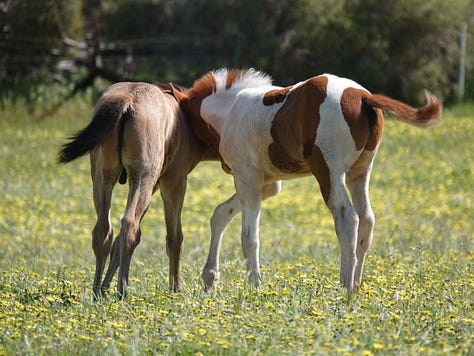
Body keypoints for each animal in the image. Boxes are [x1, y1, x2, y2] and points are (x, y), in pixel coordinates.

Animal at [57, 82, 218, 298]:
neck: (185, 119)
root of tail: (127, 99)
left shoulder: (154, 186)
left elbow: (117, 241)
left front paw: (105, 287)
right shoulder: (174, 181)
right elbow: (175, 238)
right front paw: (175, 289)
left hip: (104, 179)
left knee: (104, 230)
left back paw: (97, 291)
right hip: (143, 179)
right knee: (131, 226)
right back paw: (122, 290)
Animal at [171, 69, 440, 292]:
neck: (231, 110)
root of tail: (363, 96)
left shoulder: (247, 178)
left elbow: (249, 237)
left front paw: (254, 286)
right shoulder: (268, 183)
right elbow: (220, 214)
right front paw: (210, 278)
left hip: (329, 171)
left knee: (347, 218)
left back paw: (344, 287)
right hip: (360, 172)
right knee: (366, 219)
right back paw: (355, 285)